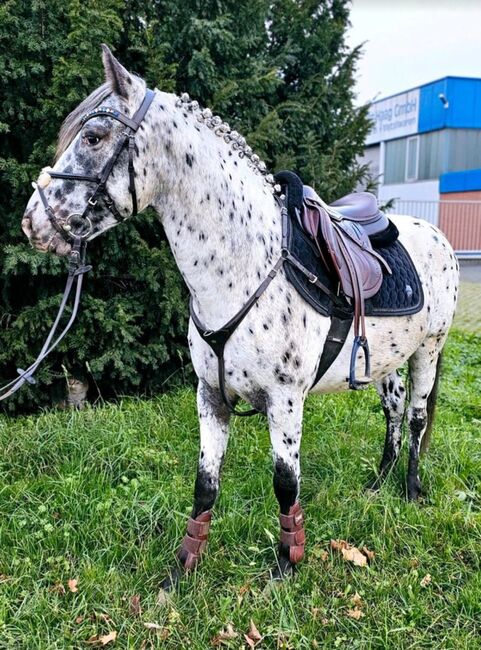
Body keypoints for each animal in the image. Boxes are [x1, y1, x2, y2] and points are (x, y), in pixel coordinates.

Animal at [21, 44, 458, 584]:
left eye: (94, 136)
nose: (32, 222)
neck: (246, 266)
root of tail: (435, 234)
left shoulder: (285, 401)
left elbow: (286, 484)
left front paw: (287, 565)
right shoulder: (210, 395)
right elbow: (205, 483)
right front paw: (183, 568)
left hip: (428, 351)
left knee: (416, 417)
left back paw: (412, 491)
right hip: (386, 360)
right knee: (393, 414)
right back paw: (379, 484)